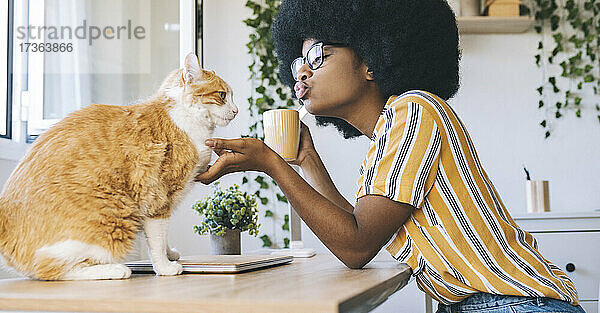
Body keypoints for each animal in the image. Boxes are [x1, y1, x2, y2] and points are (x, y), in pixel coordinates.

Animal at [0, 52, 237, 280]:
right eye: (222, 95)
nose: (236, 110)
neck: (187, 120)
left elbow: (161, 239)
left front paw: (170, 254)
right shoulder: (157, 196)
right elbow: (157, 239)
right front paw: (165, 267)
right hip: (116, 216)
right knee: (50, 268)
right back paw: (115, 270)